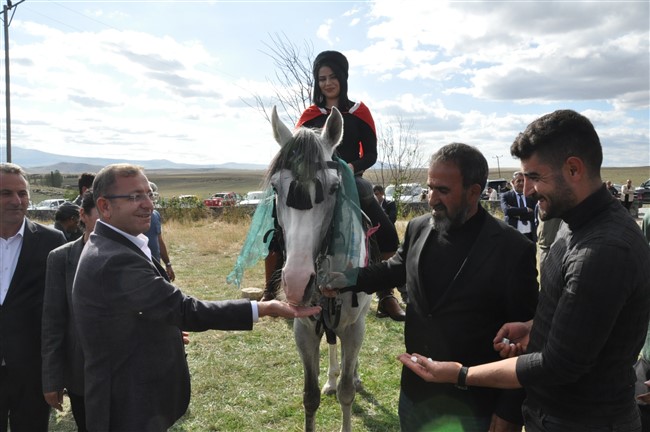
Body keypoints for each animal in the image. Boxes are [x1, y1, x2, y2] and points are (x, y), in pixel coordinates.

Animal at [266, 105, 370, 432]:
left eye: (335, 187)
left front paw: (348, 383)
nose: (298, 283)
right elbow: (309, 396)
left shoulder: (353, 328)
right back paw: (331, 379)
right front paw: (326, 383)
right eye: (276, 186)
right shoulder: (303, 329)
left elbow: (347, 392)